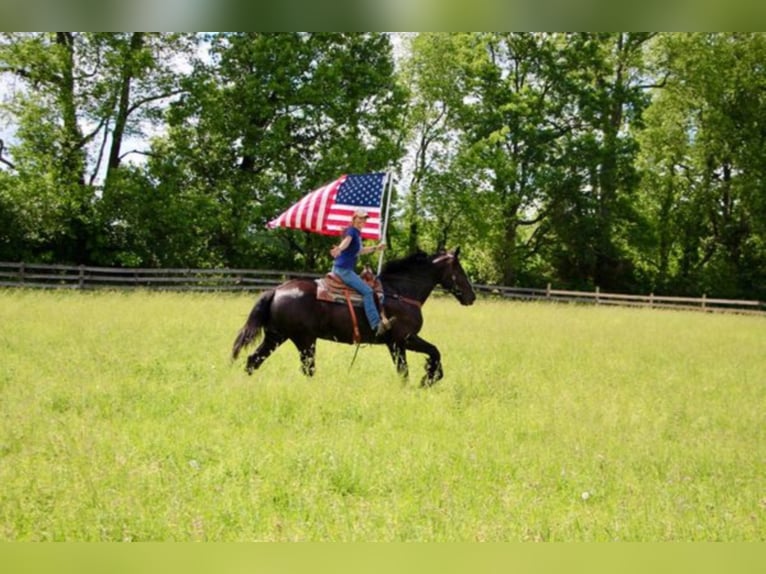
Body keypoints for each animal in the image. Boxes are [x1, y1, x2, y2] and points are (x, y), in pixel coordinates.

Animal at [231, 249, 476, 388]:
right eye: (460, 270)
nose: (471, 296)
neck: (401, 292)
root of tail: (276, 290)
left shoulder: (394, 343)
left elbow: (411, 365)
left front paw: (426, 378)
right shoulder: (404, 338)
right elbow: (429, 355)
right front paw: (428, 378)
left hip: (276, 337)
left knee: (253, 360)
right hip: (305, 341)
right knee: (308, 369)